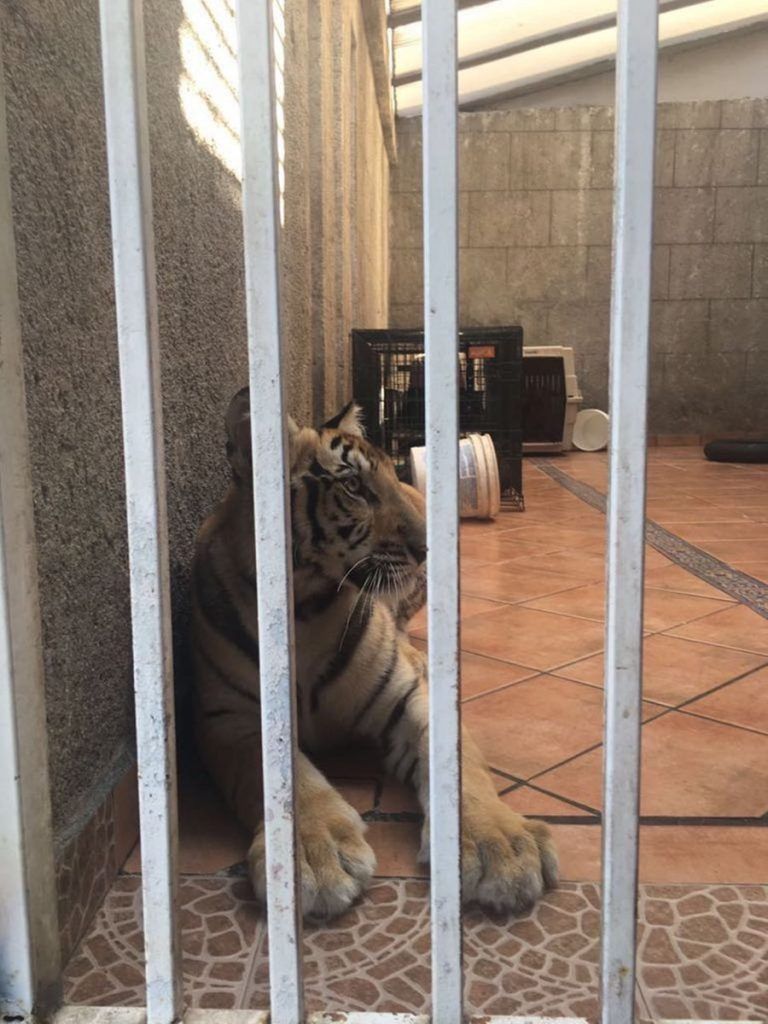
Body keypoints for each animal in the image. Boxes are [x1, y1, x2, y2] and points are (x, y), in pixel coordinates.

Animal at [191, 387, 558, 921]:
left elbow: (460, 766)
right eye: (354, 487)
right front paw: (316, 856)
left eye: (386, 475)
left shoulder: (408, 697)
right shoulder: (231, 720)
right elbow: (281, 780)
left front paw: (500, 847)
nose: (428, 546)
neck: (307, 606)